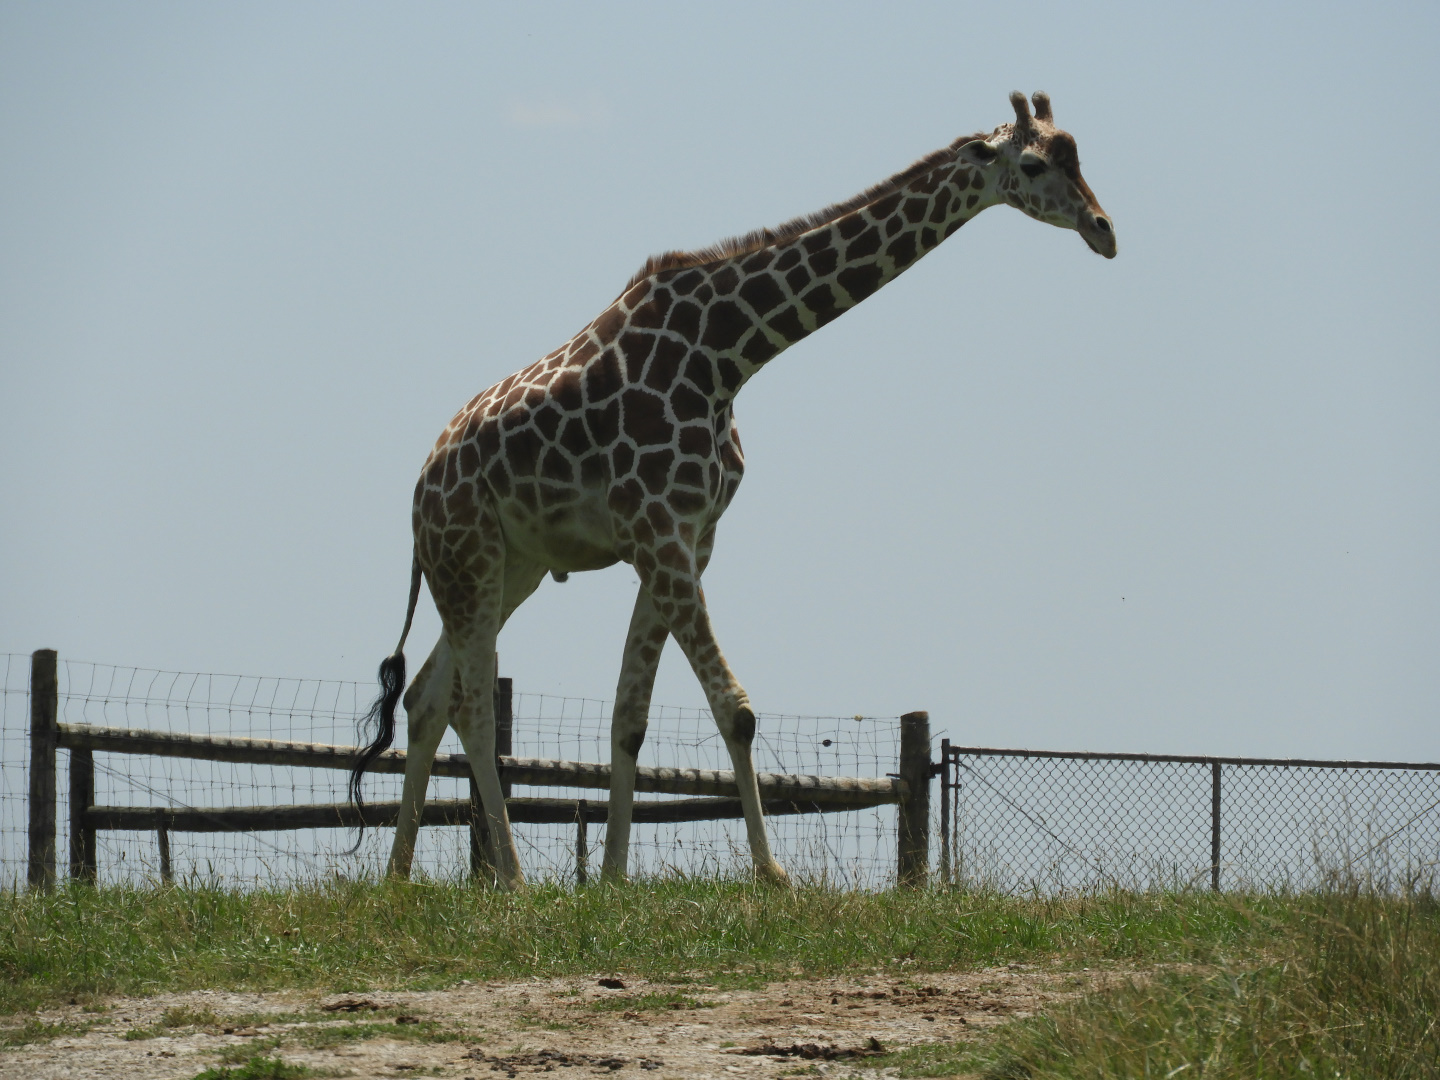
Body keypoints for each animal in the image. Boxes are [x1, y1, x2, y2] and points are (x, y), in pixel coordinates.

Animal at [350, 92, 1115, 889]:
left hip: (506, 567)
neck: (727, 353)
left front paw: (615, 878)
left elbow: (630, 716)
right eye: (1035, 164)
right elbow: (735, 710)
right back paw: (513, 879)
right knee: (470, 704)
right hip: (467, 556)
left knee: (426, 696)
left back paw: (398, 875)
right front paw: (772, 874)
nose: (1105, 231)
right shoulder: (660, 533)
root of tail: (418, 496)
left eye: (1078, 155)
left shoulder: (688, 539)